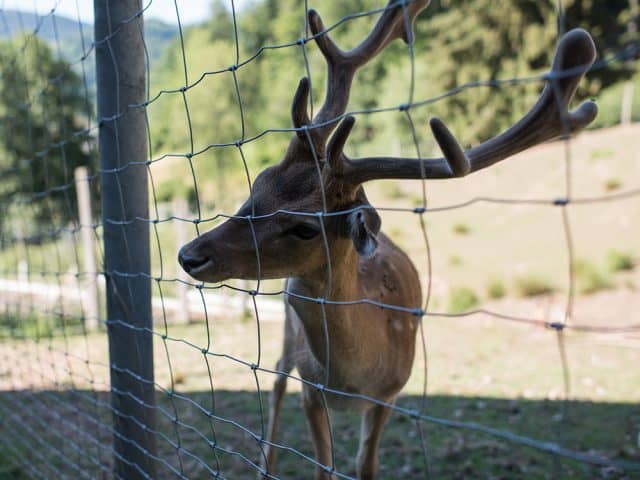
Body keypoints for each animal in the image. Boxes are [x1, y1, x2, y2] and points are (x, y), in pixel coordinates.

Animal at [178, 1, 598, 478]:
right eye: (258, 183)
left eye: (305, 226)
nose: (189, 254)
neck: (352, 377)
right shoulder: (311, 388)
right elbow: (322, 464)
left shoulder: (391, 392)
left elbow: (365, 464)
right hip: (286, 336)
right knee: (277, 378)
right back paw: (264, 462)